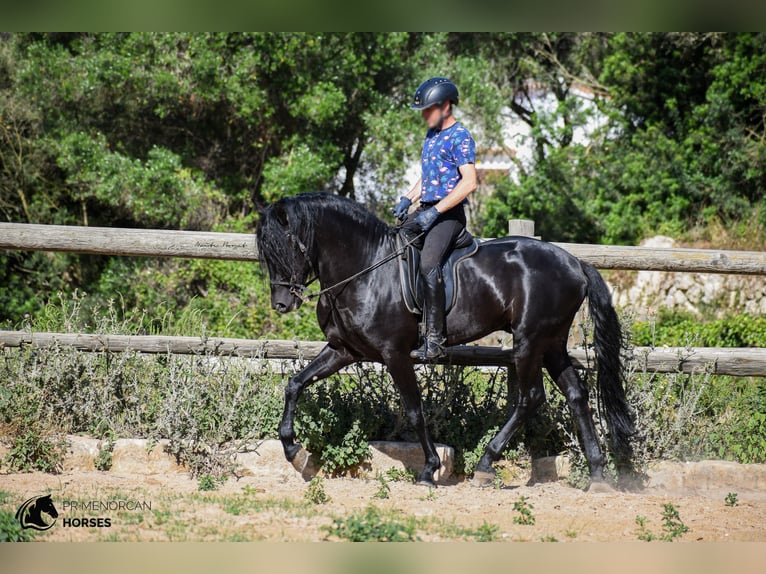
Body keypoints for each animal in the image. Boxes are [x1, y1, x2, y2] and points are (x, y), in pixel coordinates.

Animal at [258, 194, 636, 490]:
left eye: (286, 246)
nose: (282, 303)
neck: (365, 269)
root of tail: (574, 262)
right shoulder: (344, 351)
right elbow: (295, 384)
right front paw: (295, 451)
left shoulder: (396, 355)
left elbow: (414, 412)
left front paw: (429, 469)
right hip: (552, 342)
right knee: (576, 393)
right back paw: (597, 475)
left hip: (530, 341)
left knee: (530, 397)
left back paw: (485, 465)